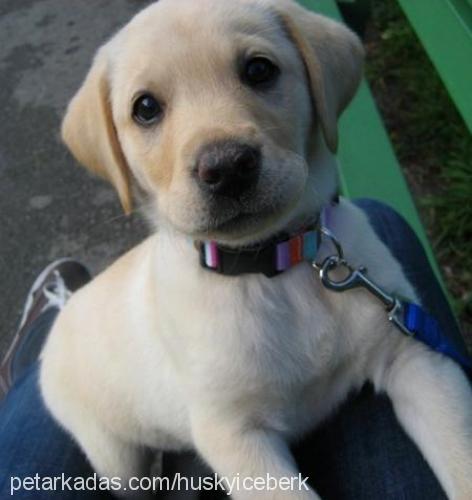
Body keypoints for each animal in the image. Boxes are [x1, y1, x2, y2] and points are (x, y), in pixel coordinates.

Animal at [40, 0, 472, 496]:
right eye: (145, 108)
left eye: (259, 70)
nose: (226, 167)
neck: (274, 264)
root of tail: (65, 307)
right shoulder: (237, 436)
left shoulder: (417, 357)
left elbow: (461, 456)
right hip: (114, 454)